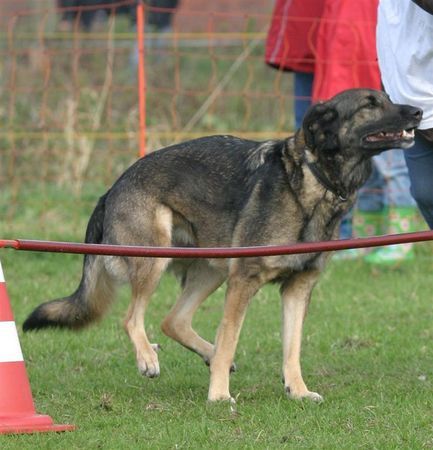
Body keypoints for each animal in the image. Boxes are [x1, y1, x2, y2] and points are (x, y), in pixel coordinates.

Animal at [24, 88, 422, 400]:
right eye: (370, 104)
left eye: (388, 98)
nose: (418, 111)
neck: (313, 179)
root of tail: (114, 186)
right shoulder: (244, 281)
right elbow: (230, 336)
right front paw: (218, 396)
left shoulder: (297, 288)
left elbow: (292, 347)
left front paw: (297, 390)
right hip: (155, 258)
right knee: (131, 318)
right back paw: (148, 358)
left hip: (211, 268)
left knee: (172, 320)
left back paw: (207, 354)